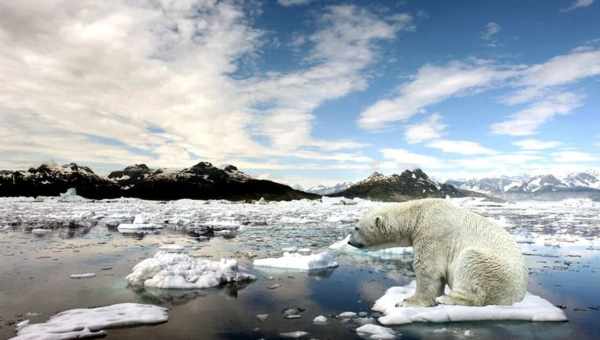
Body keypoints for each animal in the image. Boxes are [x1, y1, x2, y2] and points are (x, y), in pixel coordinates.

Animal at [350, 198, 528, 306]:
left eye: (356, 228)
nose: (350, 241)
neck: (418, 214)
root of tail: (519, 297)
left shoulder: (433, 234)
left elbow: (428, 270)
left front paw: (407, 301)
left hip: (494, 269)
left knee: (471, 264)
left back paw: (447, 299)